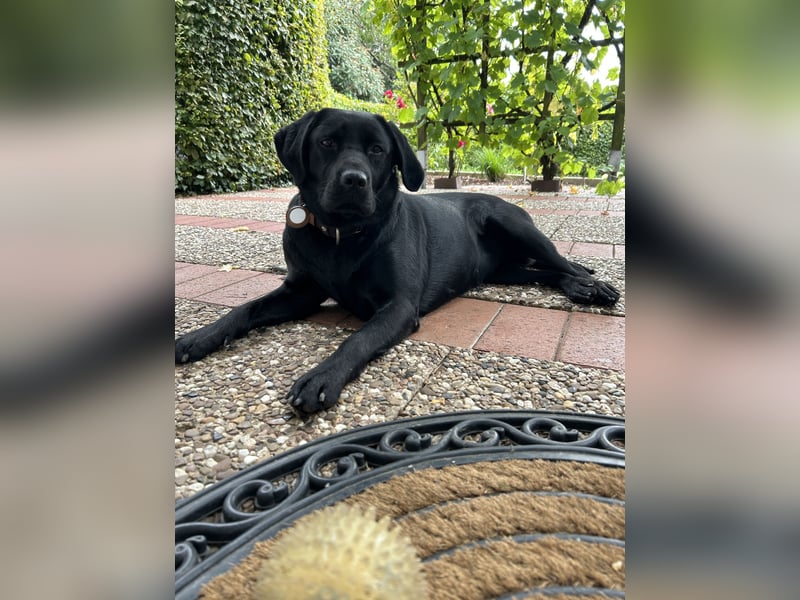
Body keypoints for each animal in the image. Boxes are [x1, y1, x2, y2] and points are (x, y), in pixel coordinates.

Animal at [178, 109, 620, 412]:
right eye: (326, 143)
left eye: (377, 150)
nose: (354, 180)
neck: (343, 234)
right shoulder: (299, 291)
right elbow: (244, 309)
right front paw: (200, 337)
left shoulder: (399, 306)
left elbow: (358, 338)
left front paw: (323, 376)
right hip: (505, 272)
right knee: (544, 272)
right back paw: (579, 287)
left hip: (515, 225)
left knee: (564, 262)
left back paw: (593, 286)